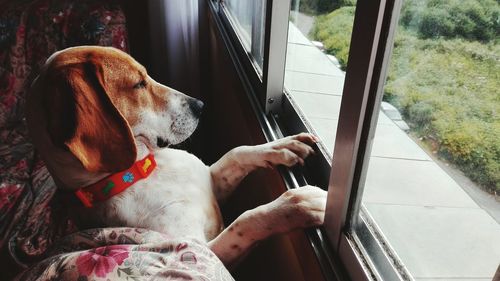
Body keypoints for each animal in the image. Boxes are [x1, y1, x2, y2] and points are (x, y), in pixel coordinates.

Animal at [25, 46, 328, 266]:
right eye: (138, 84)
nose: (200, 105)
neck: (143, 170)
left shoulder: (214, 181)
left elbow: (238, 153)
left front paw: (283, 146)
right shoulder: (206, 249)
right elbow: (248, 219)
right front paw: (299, 203)